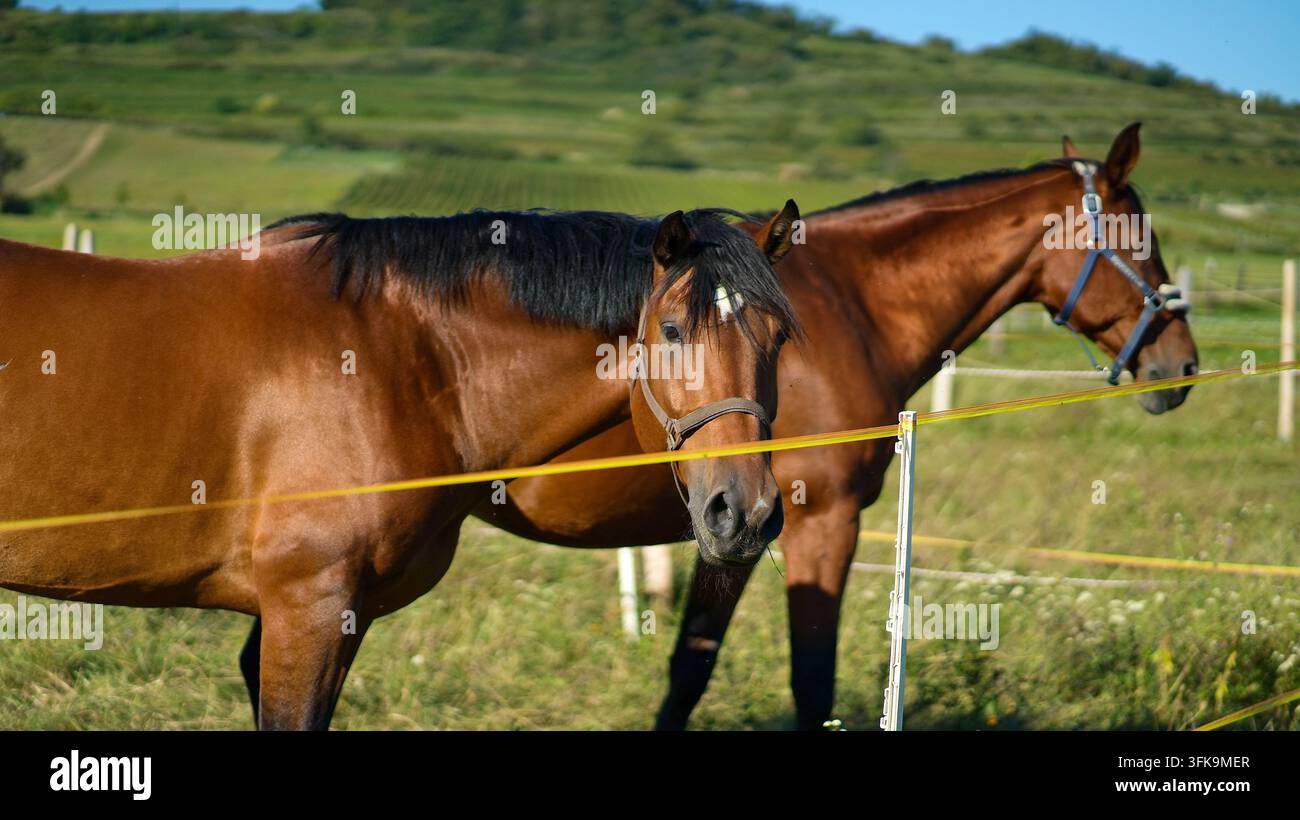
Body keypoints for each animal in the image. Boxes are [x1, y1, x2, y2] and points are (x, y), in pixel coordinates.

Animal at [476, 123, 1200, 729]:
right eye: (1142, 239)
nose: (1182, 362)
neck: (853, 311)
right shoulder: (820, 522)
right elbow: (810, 683)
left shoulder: (735, 533)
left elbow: (689, 670)